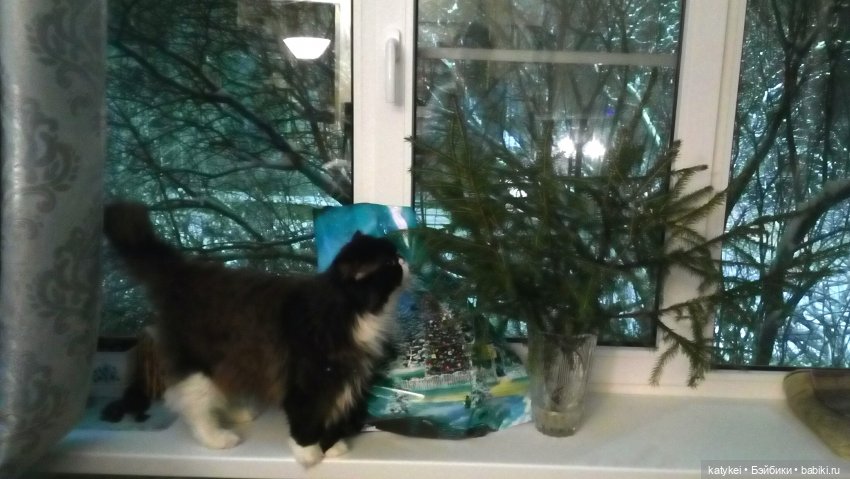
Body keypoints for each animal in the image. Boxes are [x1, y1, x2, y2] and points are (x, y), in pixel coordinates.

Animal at [103, 201, 409, 467]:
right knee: (189, 404)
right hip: (200, 365)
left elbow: (329, 415)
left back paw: (238, 414)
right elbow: (307, 416)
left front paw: (331, 446)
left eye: (396, 257)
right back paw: (217, 437)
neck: (348, 309)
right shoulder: (308, 377)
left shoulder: (339, 377)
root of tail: (183, 272)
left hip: (230, 362)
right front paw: (308, 452)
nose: (405, 260)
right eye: (390, 263)